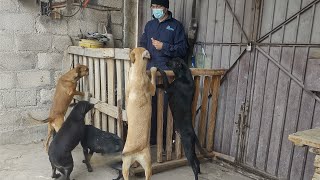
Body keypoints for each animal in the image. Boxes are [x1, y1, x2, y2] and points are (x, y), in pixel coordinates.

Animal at [121, 47, 156, 179]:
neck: (137, 70)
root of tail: (134, 151)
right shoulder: (152, 88)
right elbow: (153, 78)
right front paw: (153, 69)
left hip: (125, 165)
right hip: (147, 162)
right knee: (148, 175)